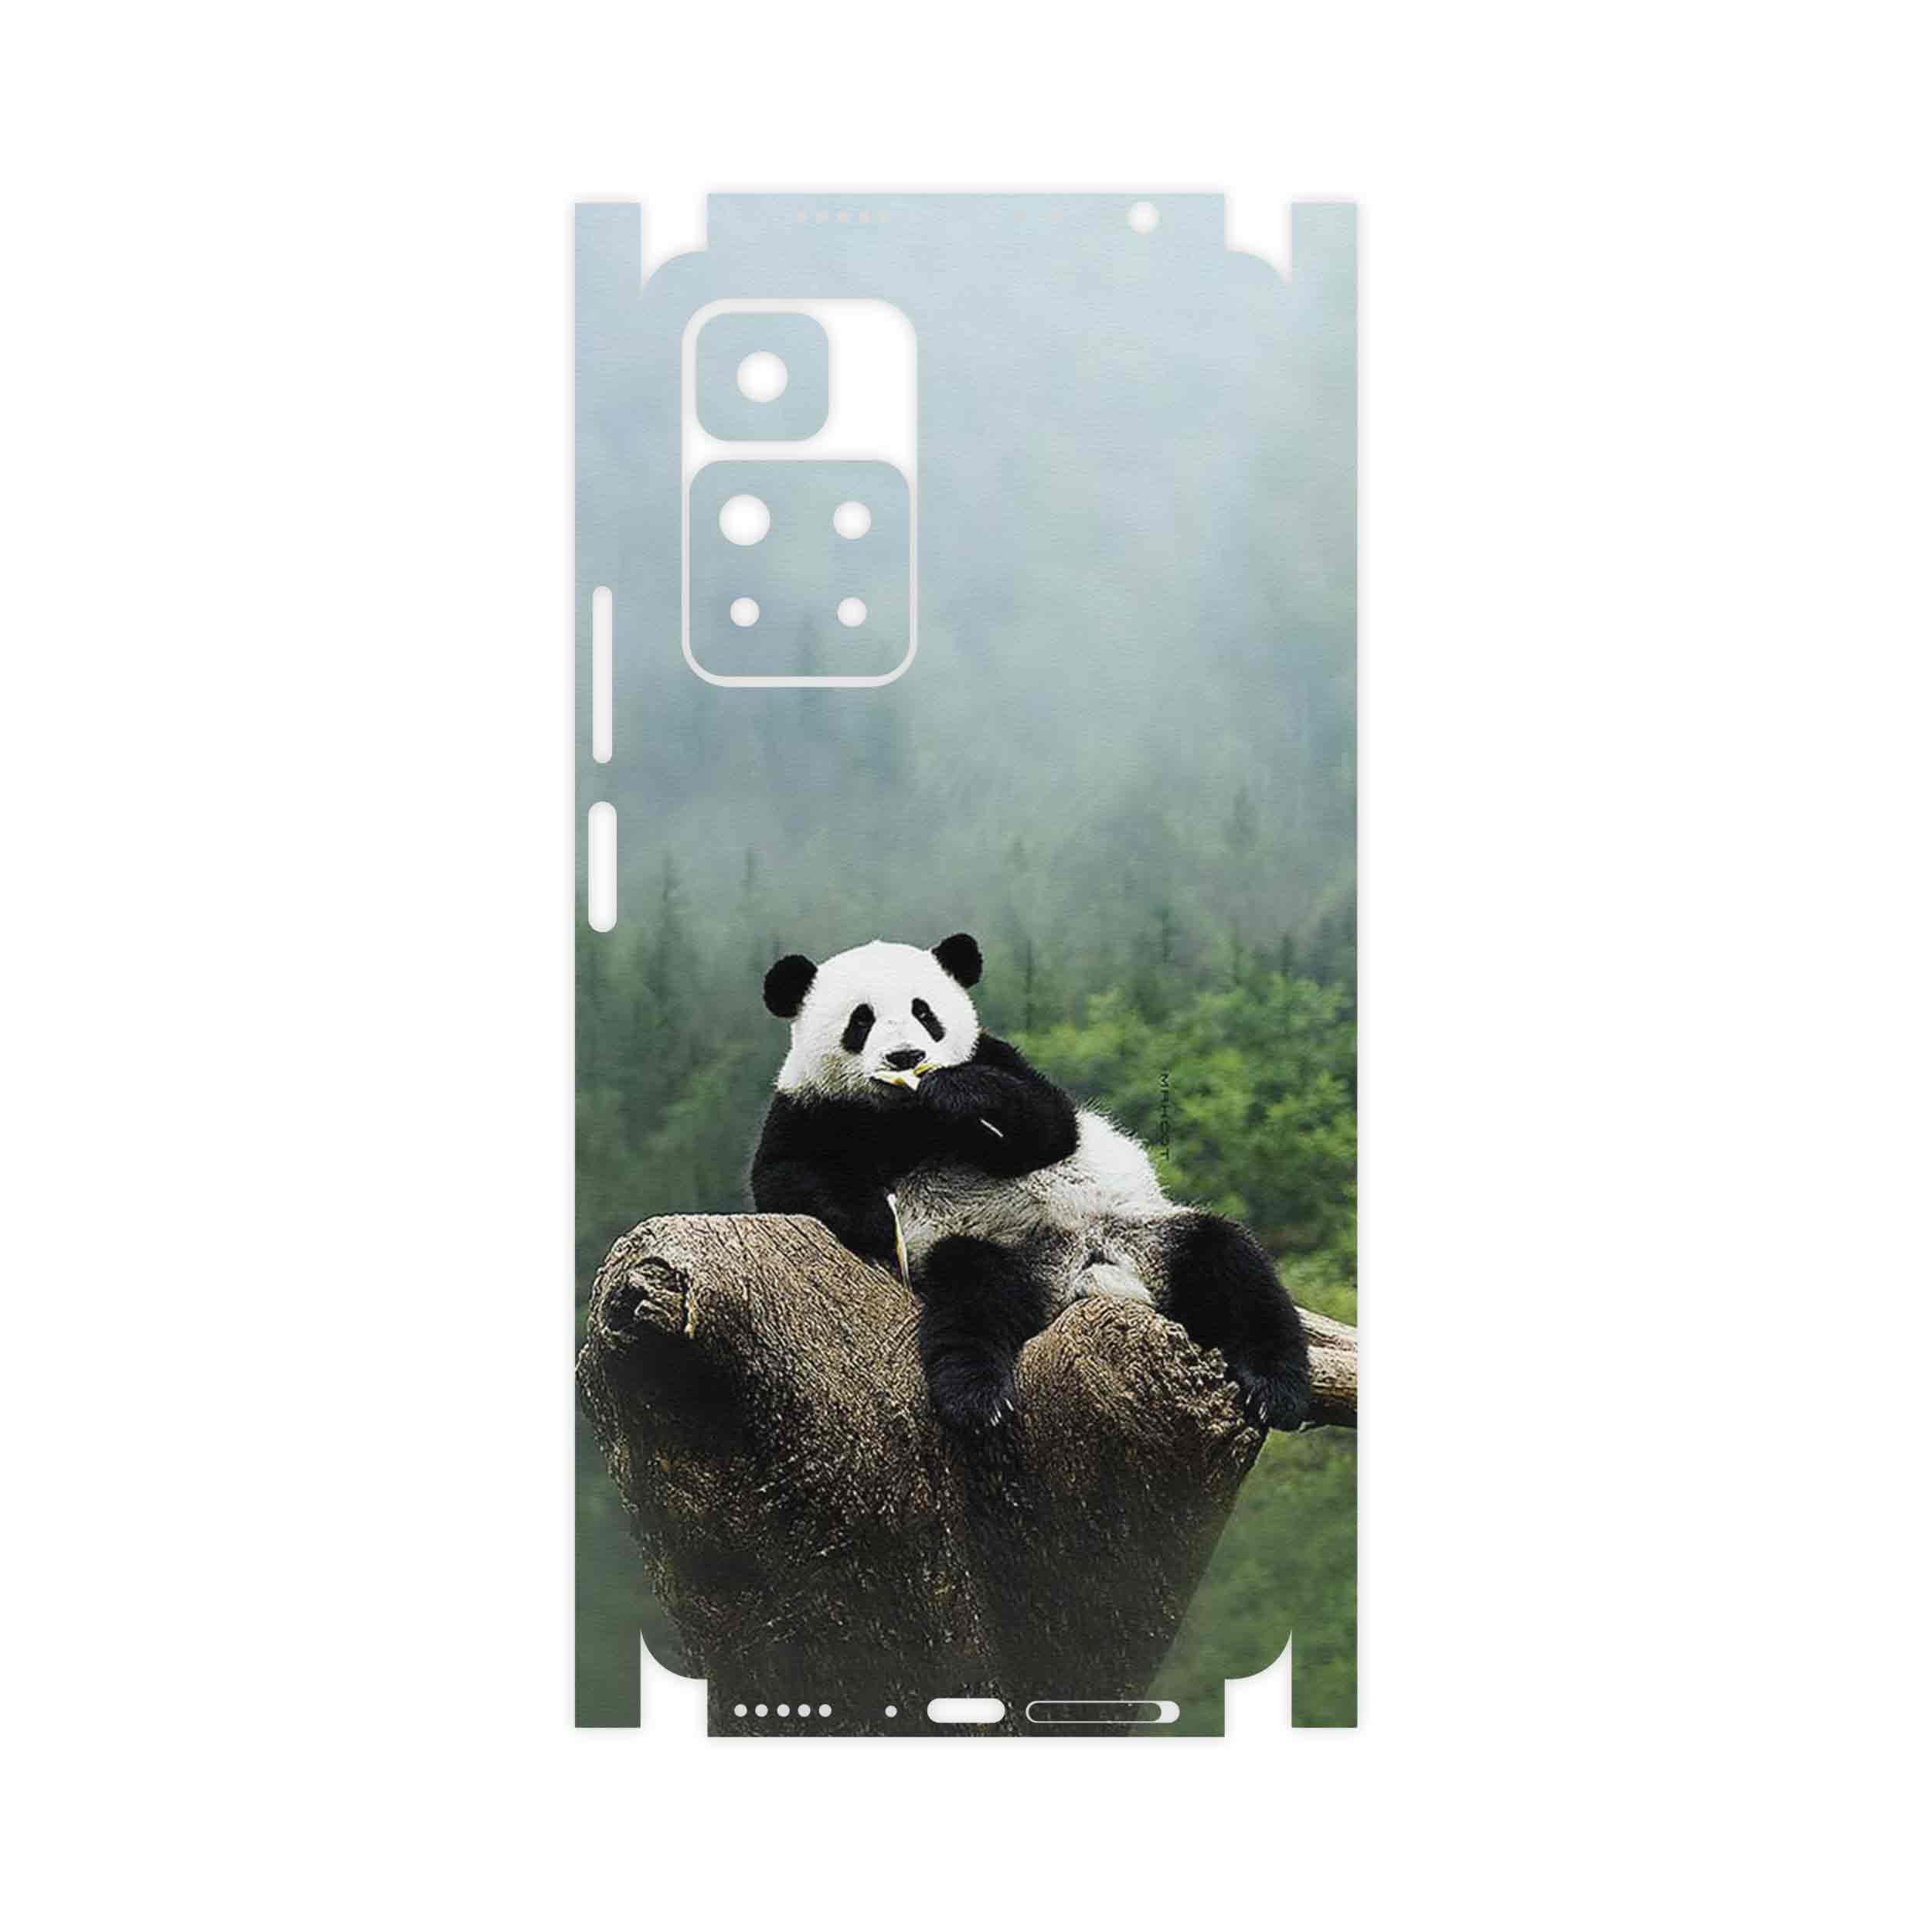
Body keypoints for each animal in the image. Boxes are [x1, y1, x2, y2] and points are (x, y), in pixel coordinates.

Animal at [751, 932, 1313, 1436]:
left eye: (925, 1013)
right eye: (861, 1020)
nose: (906, 1057)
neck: (905, 1116)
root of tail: (1081, 1271)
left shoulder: (998, 1058)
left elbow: (1051, 1125)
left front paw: (959, 1093)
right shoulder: (809, 1107)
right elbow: (784, 1179)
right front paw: (874, 1217)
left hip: (1142, 1232)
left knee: (1230, 1263)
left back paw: (1276, 1390)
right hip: (993, 1252)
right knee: (972, 1298)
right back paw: (977, 1399)